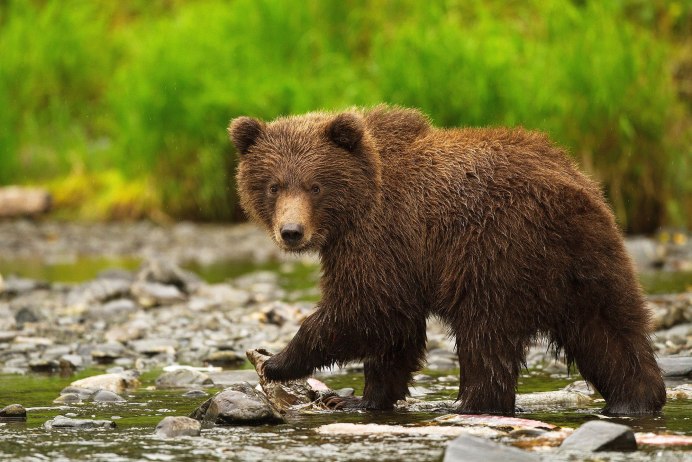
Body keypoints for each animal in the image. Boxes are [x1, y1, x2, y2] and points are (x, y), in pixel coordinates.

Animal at [230, 106, 668, 416]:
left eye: (315, 185)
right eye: (274, 185)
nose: (291, 232)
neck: (356, 207)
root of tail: (569, 190)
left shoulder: (380, 235)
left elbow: (368, 308)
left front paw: (279, 361)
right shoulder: (396, 255)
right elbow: (396, 332)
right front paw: (359, 399)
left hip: (495, 250)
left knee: (485, 334)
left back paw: (472, 403)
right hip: (593, 260)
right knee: (612, 331)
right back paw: (636, 398)